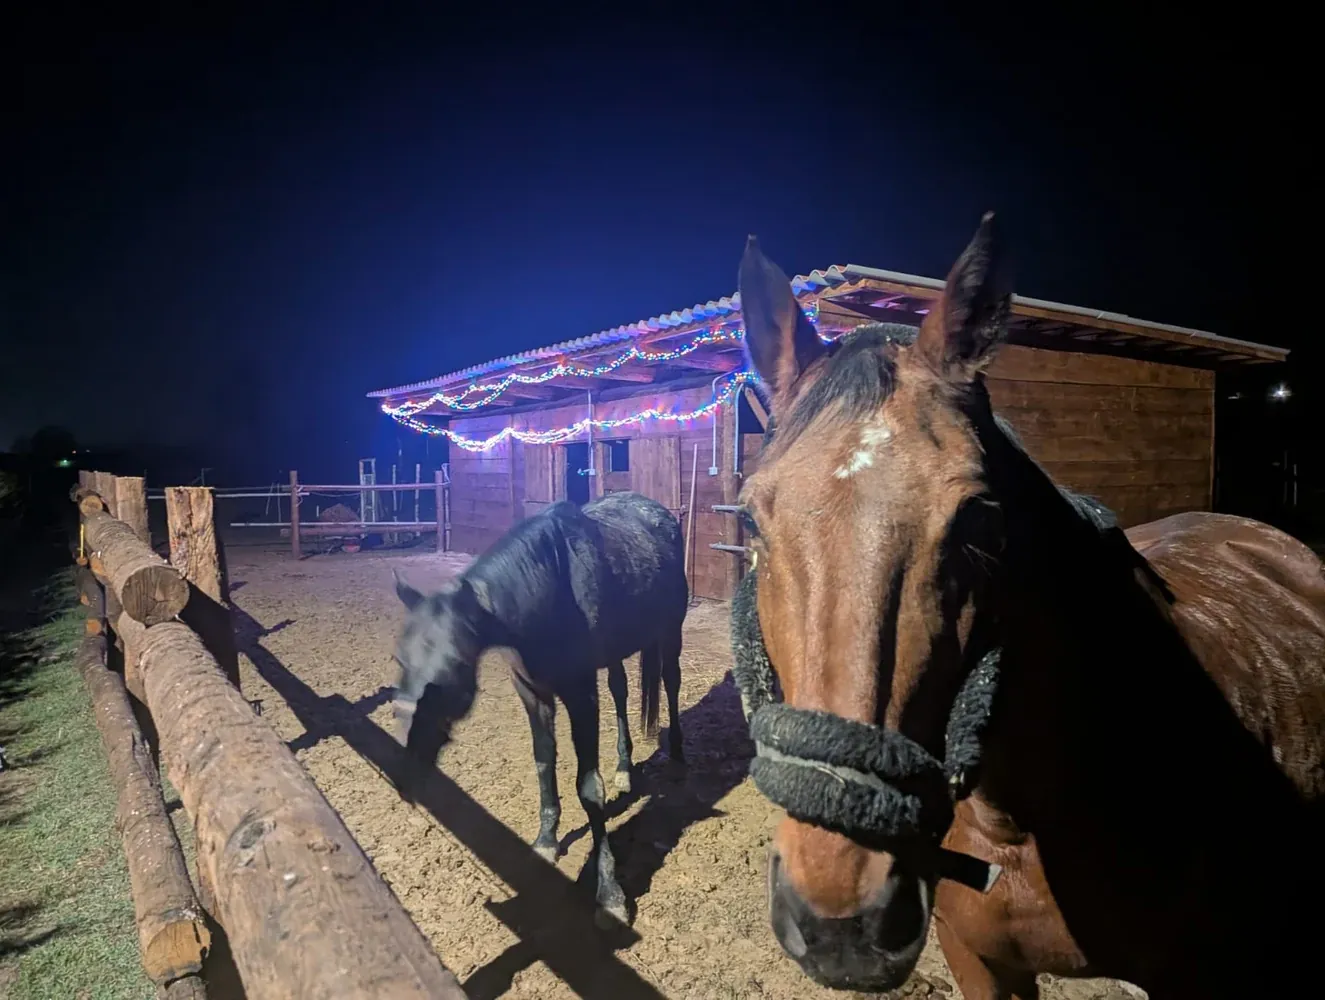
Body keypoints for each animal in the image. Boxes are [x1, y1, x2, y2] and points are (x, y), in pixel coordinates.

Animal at [390, 489, 688, 924]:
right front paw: (546, 841)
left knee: (670, 681)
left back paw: (679, 759)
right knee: (620, 690)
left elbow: (588, 788)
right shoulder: (532, 693)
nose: (408, 764)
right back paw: (624, 769)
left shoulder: (581, 696)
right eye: (399, 659)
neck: (546, 594)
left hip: (670, 630)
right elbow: (544, 762)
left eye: (456, 666)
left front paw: (609, 895)